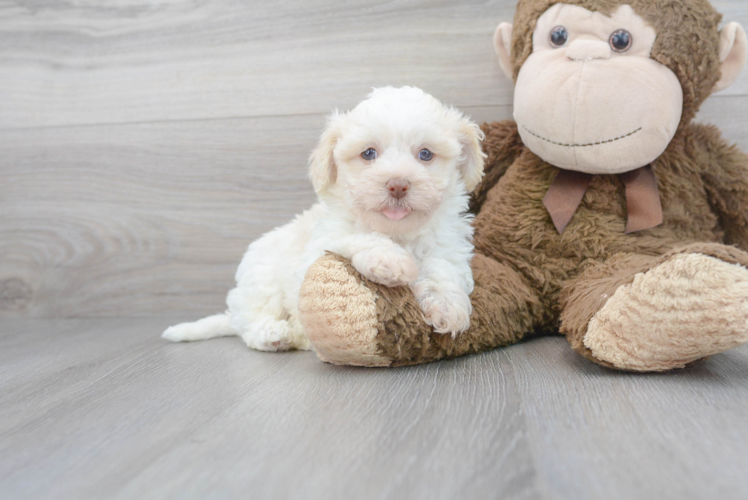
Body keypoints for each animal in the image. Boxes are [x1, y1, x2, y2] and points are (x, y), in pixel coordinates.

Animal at [163, 86, 486, 352]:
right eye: (369, 153)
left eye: (426, 154)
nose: (397, 185)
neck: (396, 232)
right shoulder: (322, 244)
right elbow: (356, 236)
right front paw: (390, 260)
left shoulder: (447, 245)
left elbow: (441, 269)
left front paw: (446, 305)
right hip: (261, 282)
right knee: (250, 321)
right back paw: (273, 334)